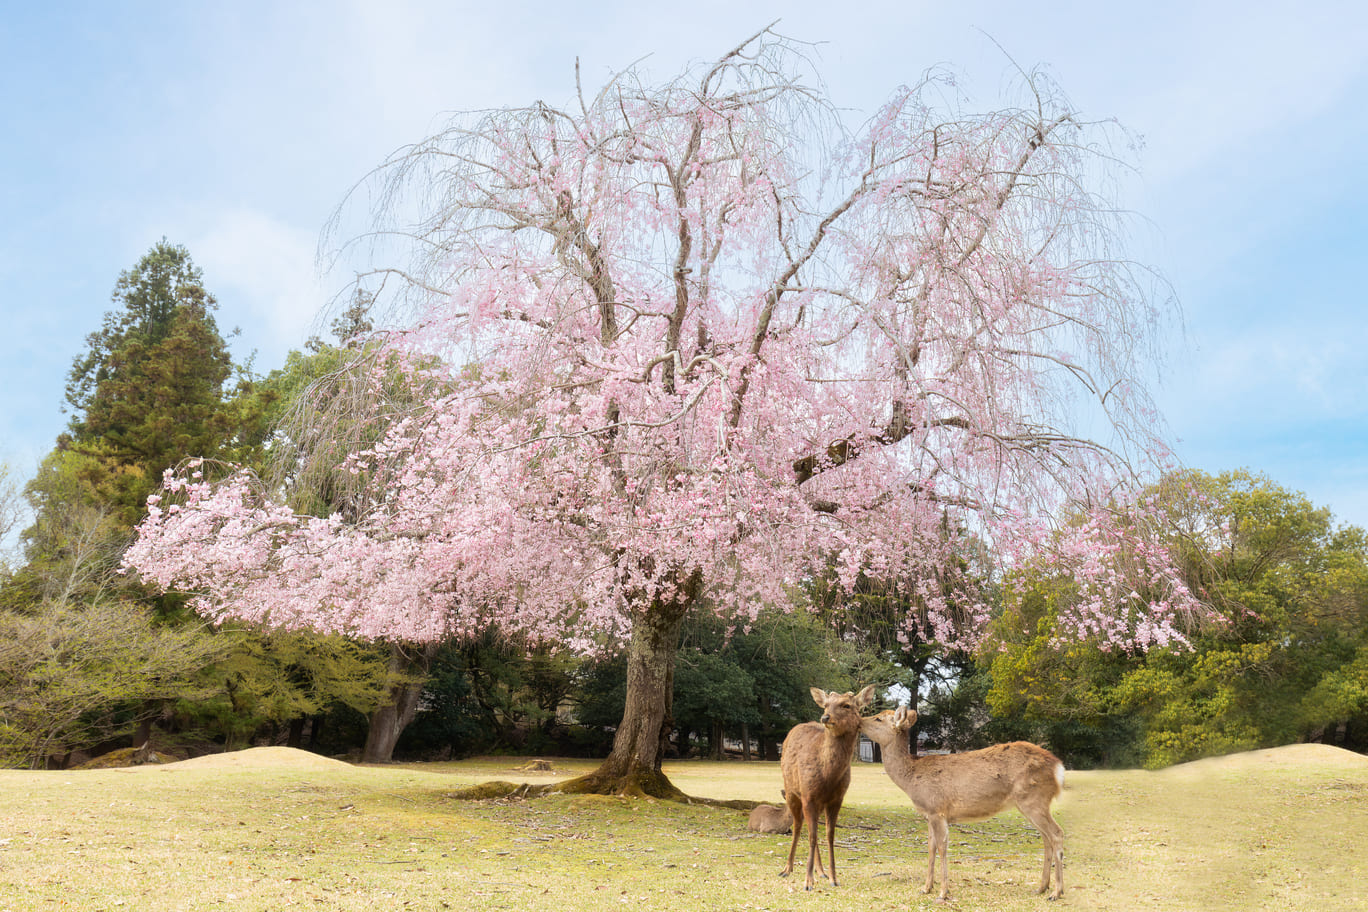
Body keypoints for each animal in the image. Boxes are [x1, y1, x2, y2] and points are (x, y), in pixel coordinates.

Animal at [782, 689, 875, 886]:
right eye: (825, 705)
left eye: (846, 705)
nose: (825, 717)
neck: (828, 777)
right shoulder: (808, 795)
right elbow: (811, 835)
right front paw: (808, 882)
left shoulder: (837, 799)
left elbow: (829, 835)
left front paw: (833, 877)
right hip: (791, 790)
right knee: (798, 825)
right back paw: (787, 869)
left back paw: (821, 871)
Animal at [859, 705, 1061, 896]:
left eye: (878, 718)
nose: (859, 719)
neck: (911, 780)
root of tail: (1057, 767)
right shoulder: (928, 814)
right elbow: (931, 847)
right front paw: (926, 888)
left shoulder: (937, 809)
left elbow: (942, 847)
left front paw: (943, 891)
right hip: (1032, 803)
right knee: (1046, 837)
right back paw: (1042, 887)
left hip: (1034, 799)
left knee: (1056, 833)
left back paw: (1057, 892)